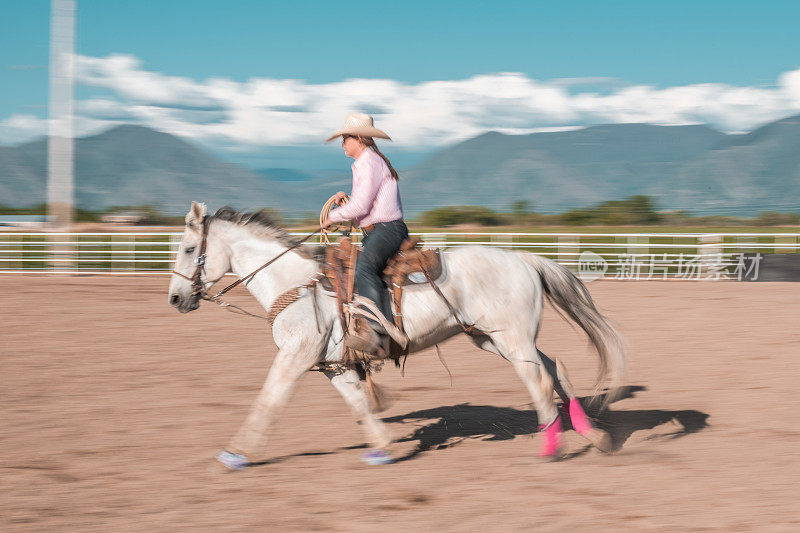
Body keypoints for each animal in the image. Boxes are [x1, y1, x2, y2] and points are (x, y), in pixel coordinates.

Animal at [169, 202, 628, 468]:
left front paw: (237, 453)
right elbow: (359, 404)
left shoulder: (295, 356)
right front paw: (382, 447)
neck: (296, 284)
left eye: (190, 249)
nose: (175, 298)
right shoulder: (332, 365)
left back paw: (552, 448)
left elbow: (268, 399)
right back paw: (593, 435)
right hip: (493, 338)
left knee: (537, 379)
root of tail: (525, 259)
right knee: (553, 367)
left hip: (510, 338)